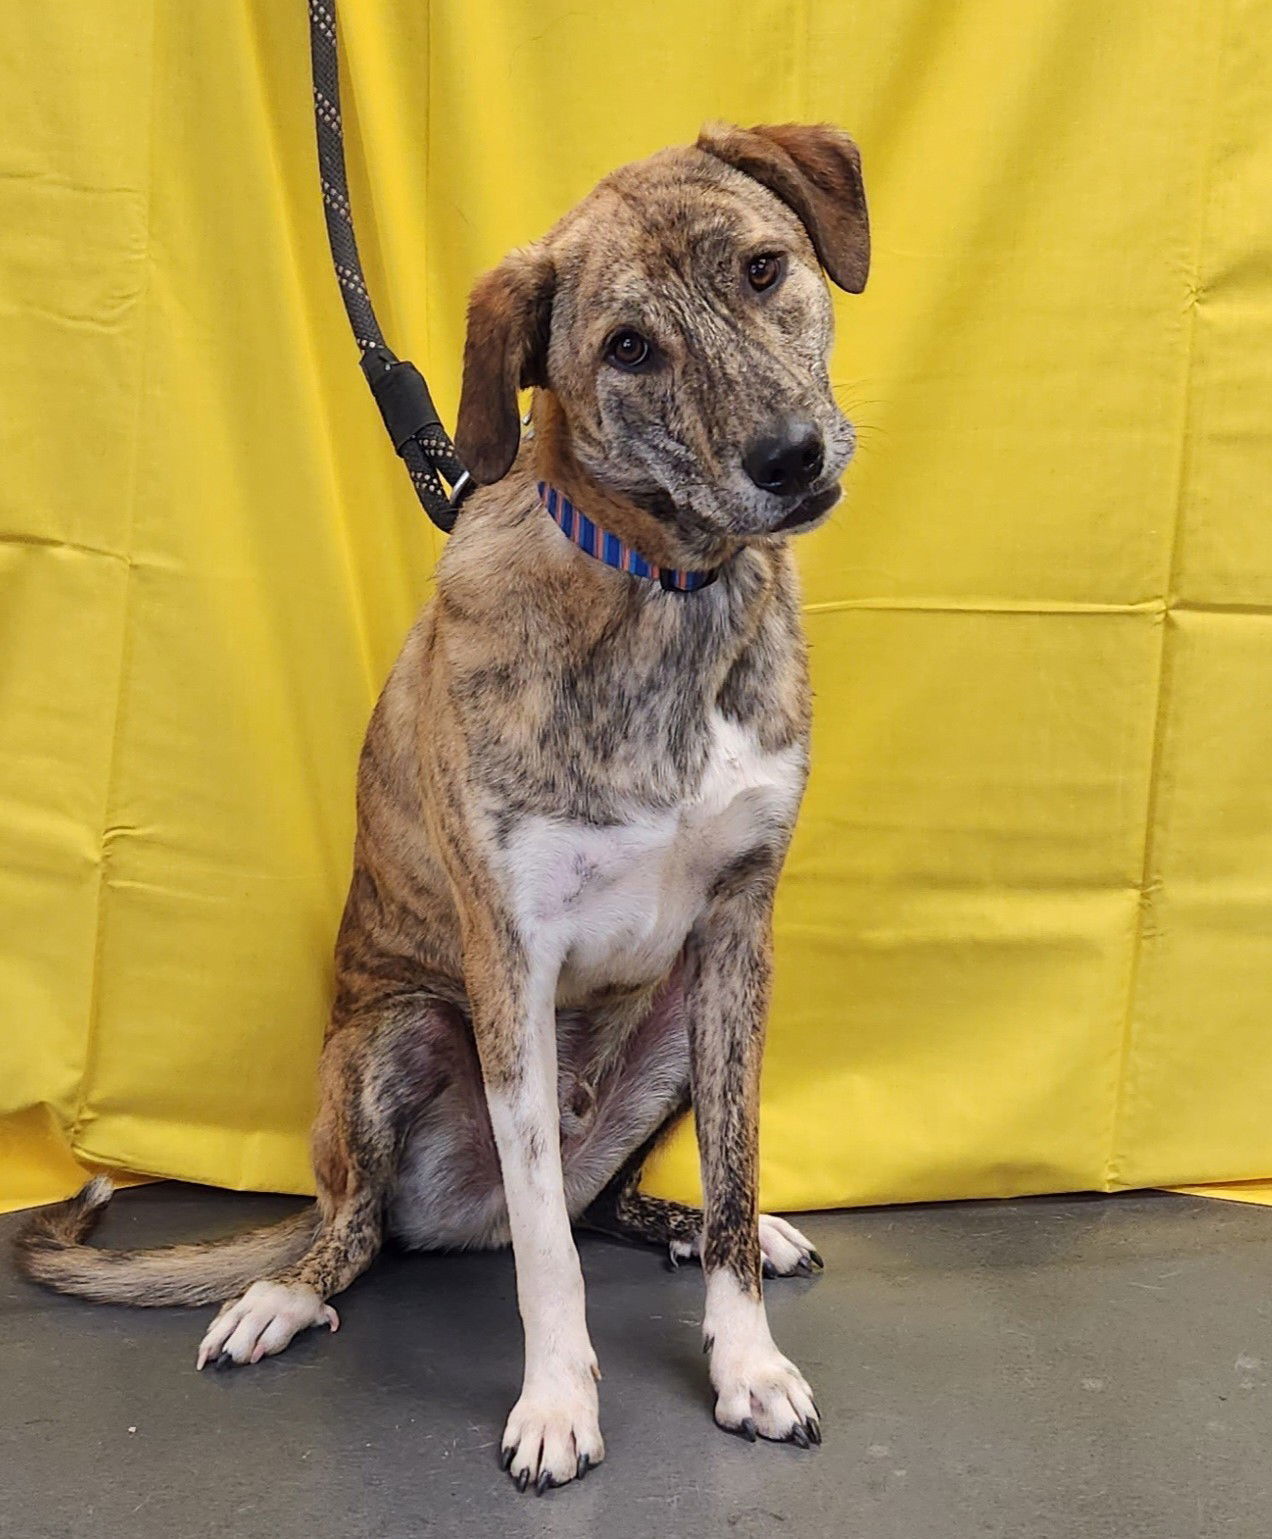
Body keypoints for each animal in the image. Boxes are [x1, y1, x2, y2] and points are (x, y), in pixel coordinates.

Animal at [19, 120, 873, 1489]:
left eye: (762, 268)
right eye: (627, 348)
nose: (789, 458)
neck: (663, 598)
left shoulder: (741, 935)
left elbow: (736, 1173)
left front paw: (746, 1362)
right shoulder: (508, 966)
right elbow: (545, 1260)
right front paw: (557, 1405)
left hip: (678, 1021)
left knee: (599, 1199)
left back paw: (689, 1226)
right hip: (397, 1036)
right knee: (374, 1228)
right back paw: (284, 1294)